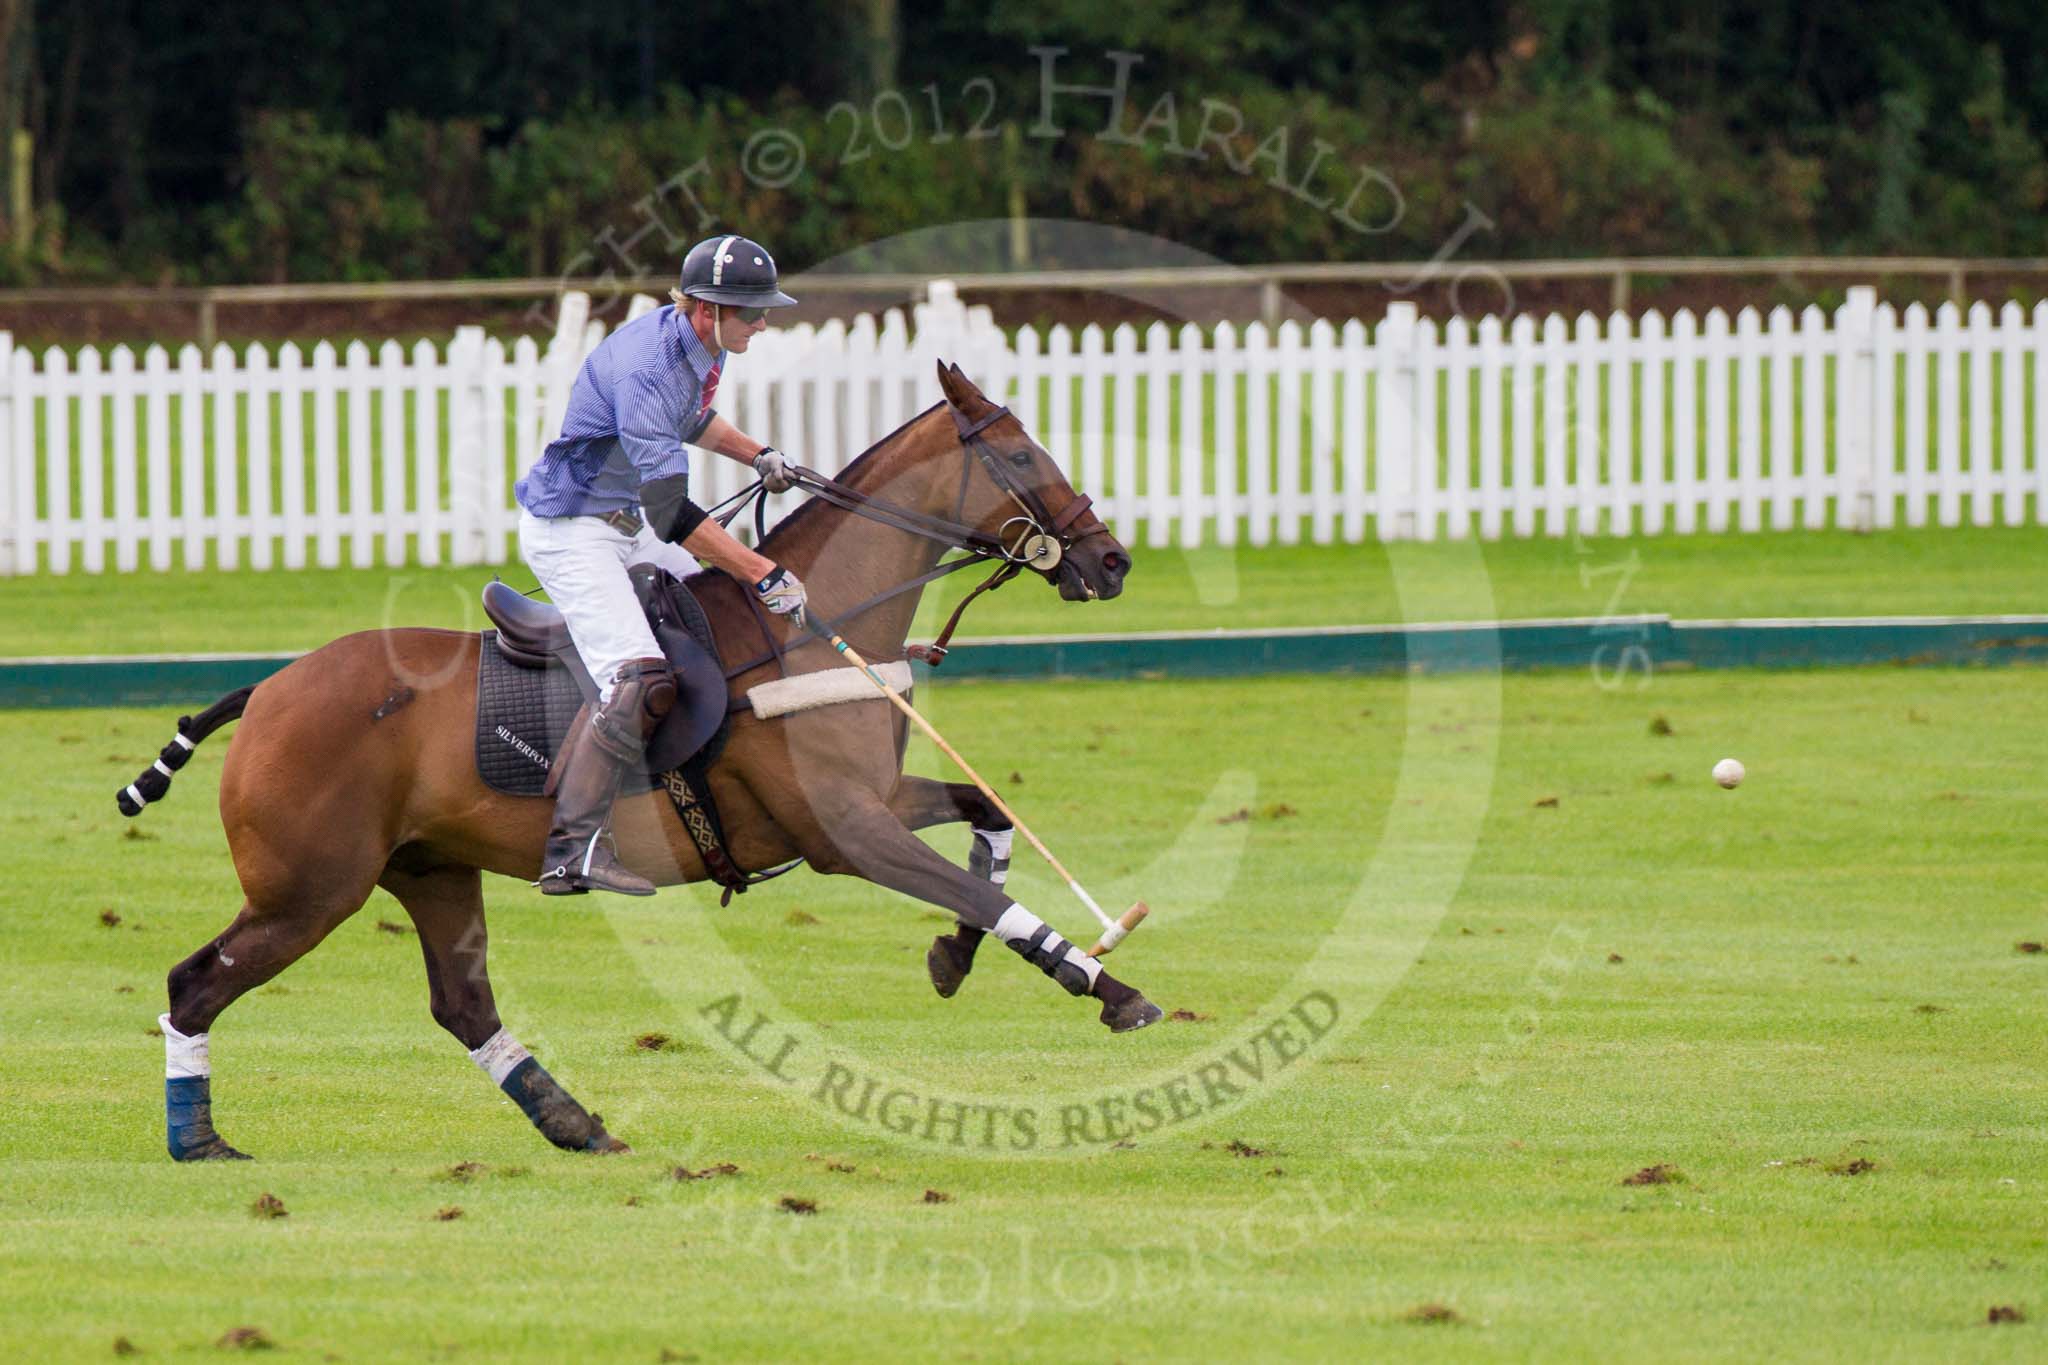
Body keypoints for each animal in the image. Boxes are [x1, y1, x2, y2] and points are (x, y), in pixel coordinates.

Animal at [128, 362, 1155, 1162]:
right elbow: (976, 884)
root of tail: (266, 688)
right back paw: (199, 1139)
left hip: (428, 868)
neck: (807, 636)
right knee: (194, 981)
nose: (1111, 562)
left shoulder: (872, 801)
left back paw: (577, 1125)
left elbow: (986, 817)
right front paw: (1111, 984)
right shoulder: (846, 833)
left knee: (463, 1003)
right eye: (1019, 456)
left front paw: (955, 957)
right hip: (310, 887)